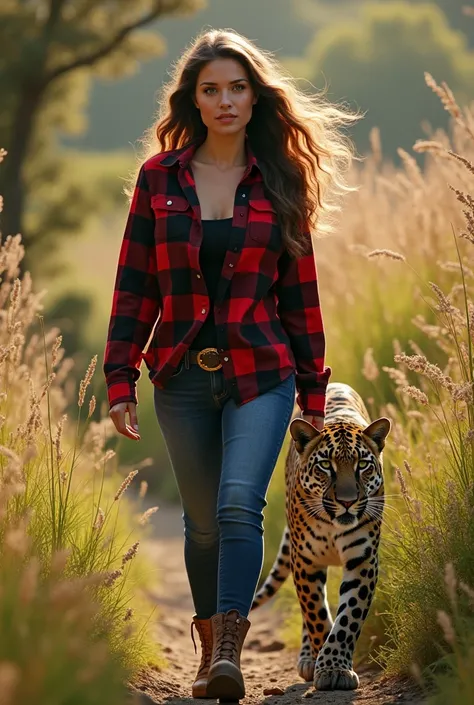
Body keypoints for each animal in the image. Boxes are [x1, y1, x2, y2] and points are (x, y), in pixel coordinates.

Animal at [250, 382, 390, 692]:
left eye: (363, 465)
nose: (348, 501)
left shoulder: (363, 560)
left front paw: (334, 667)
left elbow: (348, 617)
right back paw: (308, 658)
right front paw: (323, 664)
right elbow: (315, 613)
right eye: (326, 466)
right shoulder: (305, 559)